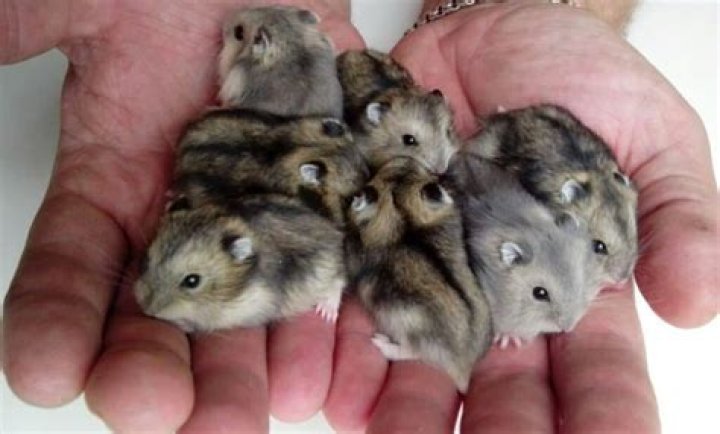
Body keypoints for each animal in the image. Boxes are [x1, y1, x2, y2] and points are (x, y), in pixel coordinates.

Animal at [135, 194, 346, 333]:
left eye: (192, 281)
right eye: (147, 258)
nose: (147, 311)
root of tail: (335, 232)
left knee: (338, 281)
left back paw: (326, 312)